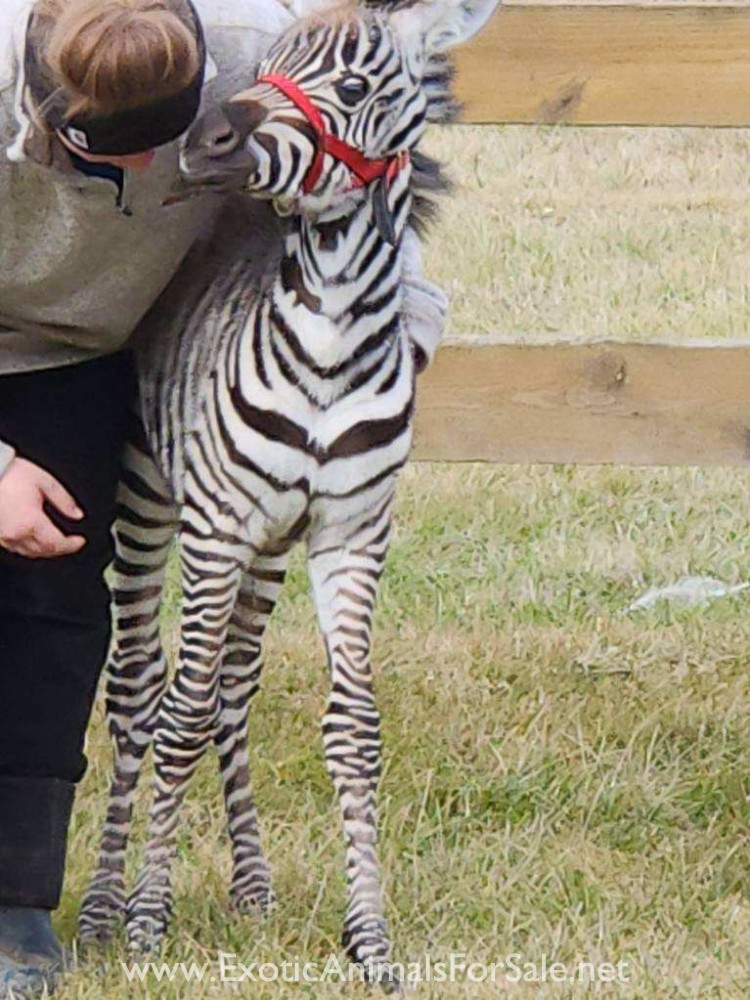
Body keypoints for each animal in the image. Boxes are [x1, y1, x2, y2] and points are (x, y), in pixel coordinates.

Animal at [77, 0, 497, 981]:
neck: (331, 344)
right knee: (141, 692)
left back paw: (253, 887)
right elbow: (180, 716)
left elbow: (353, 731)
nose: (204, 139)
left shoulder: (350, 539)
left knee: (234, 686)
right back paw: (105, 909)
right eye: (266, 61)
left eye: (351, 84)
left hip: (270, 550)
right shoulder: (219, 530)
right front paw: (148, 923)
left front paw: (370, 940)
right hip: (151, 506)